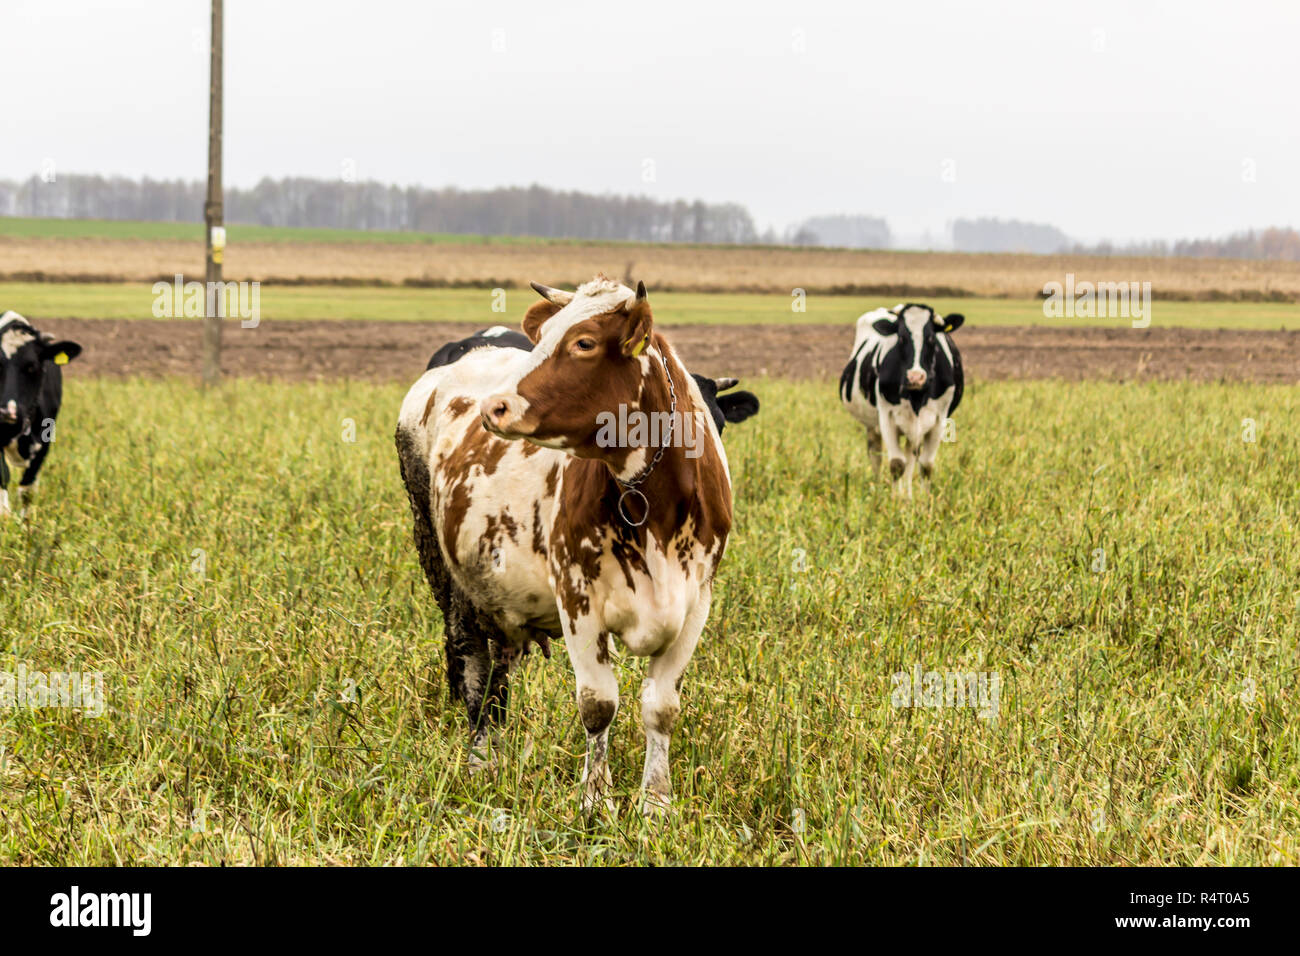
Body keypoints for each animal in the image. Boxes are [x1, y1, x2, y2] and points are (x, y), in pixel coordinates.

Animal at [0, 311, 83, 517]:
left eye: (32, 366)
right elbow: (3, 476)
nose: (6, 412)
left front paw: (26, 521)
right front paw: (5, 516)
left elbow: (27, 489)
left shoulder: (45, 440)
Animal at [396, 276, 757, 815]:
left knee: (500, 673)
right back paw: (482, 762)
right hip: (442, 565)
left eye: (584, 343)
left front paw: (656, 803)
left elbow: (662, 707)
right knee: (473, 667)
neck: (652, 501)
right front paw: (594, 801)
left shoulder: (696, 603)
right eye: (543, 337)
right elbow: (598, 704)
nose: (493, 407)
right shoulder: (578, 600)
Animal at [840, 302, 963, 496]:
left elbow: (926, 465)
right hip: (872, 425)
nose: (915, 377)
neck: (917, 396)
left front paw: (924, 500)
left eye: (931, 338)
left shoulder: (939, 419)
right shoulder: (886, 417)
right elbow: (897, 464)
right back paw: (880, 491)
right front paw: (894, 499)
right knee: (875, 455)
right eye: (901, 338)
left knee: (911, 456)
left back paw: (908, 494)